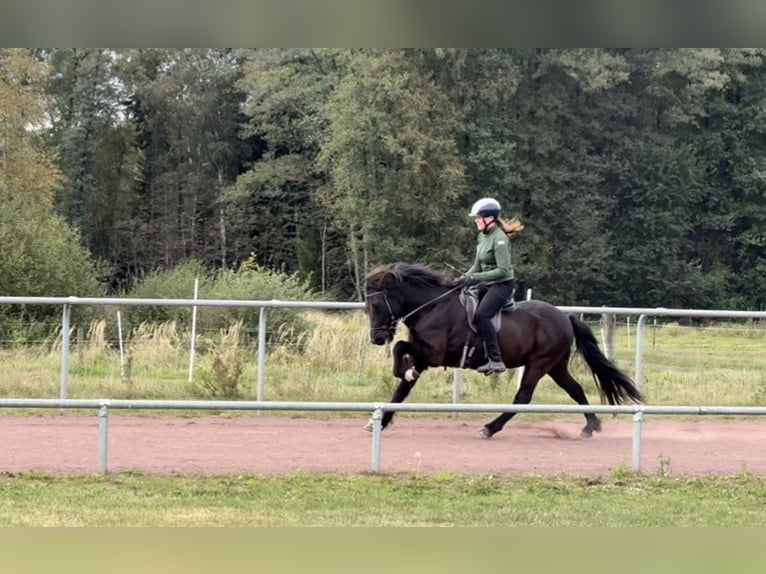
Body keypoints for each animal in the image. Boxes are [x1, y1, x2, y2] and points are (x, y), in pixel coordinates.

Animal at [363, 262, 643, 438]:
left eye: (376, 304)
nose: (377, 338)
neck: (432, 307)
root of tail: (565, 317)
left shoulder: (432, 354)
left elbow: (400, 348)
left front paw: (400, 370)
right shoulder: (422, 358)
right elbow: (401, 390)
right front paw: (380, 421)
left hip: (539, 363)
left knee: (523, 397)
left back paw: (490, 427)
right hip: (556, 366)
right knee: (575, 389)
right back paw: (591, 426)